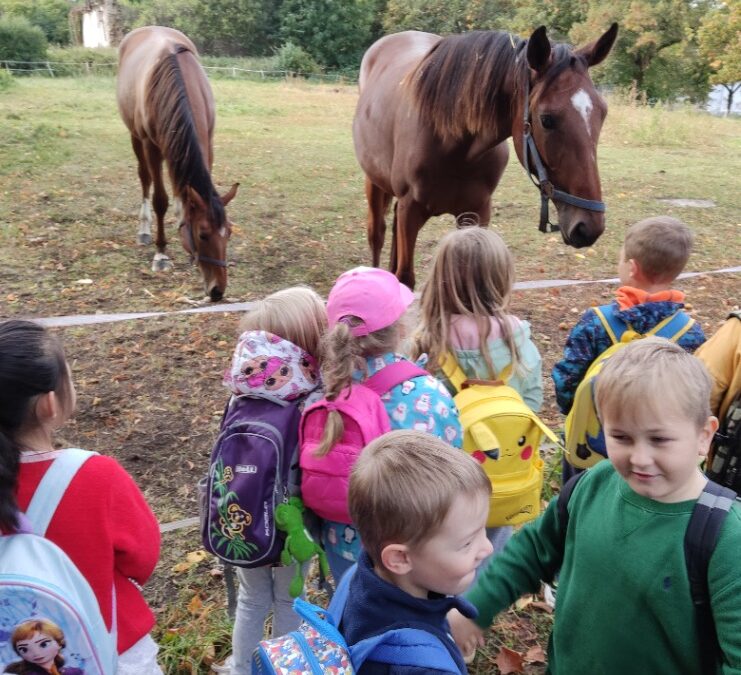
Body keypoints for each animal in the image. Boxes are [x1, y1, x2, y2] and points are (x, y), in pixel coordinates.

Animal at [116, 25, 237, 302]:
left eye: (229, 232)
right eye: (202, 234)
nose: (217, 291)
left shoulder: (208, 142)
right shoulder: (151, 146)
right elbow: (160, 199)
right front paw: (161, 253)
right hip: (136, 139)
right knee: (145, 180)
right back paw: (144, 230)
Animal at [352, 23, 620, 288]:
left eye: (603, 113)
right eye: (547, 119)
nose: (588, 226)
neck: (453, 145)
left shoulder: (476, 213)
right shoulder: (411, 210)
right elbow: (406, 277)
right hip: (373, 183)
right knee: (377, 234)